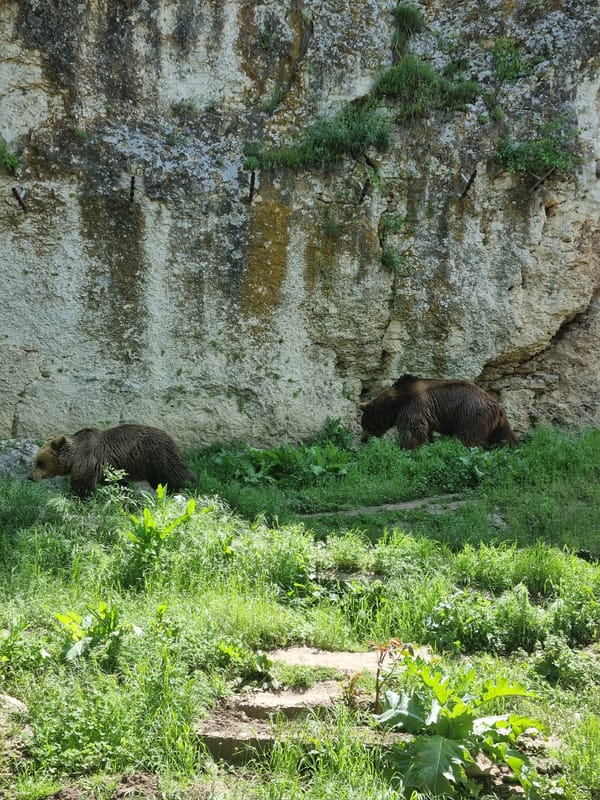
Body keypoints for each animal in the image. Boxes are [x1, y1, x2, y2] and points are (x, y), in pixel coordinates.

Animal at [30, 423, 197, 499]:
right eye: (36, 461)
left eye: (40, 462)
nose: (30, 477)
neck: (73, 458)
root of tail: (169, 437)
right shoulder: (109, 470)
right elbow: (119, 484)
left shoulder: (88, 461)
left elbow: (82, 486)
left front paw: (77, 498)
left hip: (157, 456)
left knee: (174, 475)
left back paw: (187, 487)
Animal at [359, 374, 518, 449]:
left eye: (364, 425)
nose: (363, 440)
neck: (396, 403)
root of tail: (495, 405)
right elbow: (424, 432)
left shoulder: (414, 405)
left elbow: (411, 431)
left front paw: (406, 449)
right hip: (498, 422)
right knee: (503, 436)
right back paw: (513, 448)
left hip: (471, 413)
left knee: (467, 436)